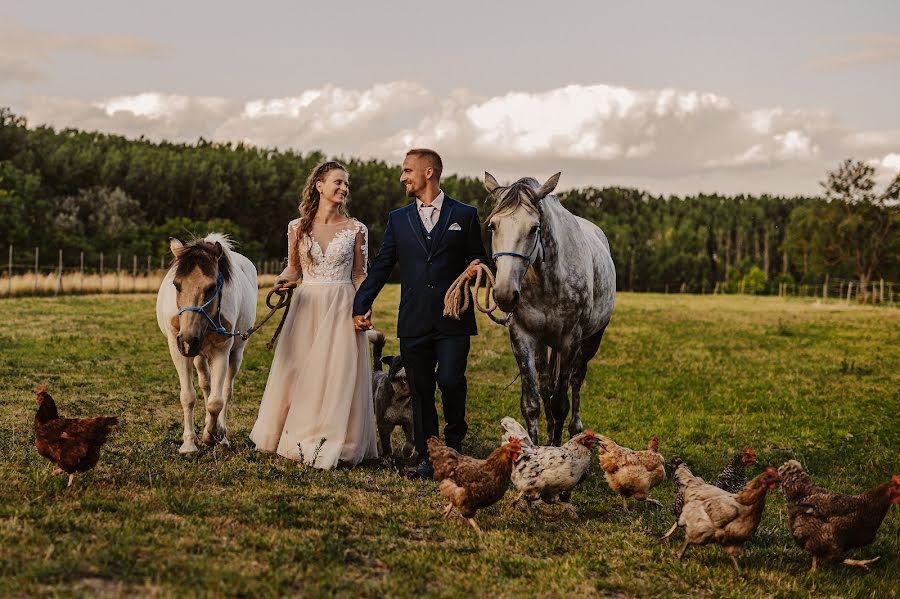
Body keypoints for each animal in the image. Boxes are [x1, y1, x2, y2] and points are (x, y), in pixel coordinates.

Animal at [486, 172, 620, 446]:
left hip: (591, 339)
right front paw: (535, 447)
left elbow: (560, 402)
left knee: (576, 379)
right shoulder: (523, 336)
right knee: (547, 385)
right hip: (545, 343)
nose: (505, 294)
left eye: (534, 228)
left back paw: (574, 429)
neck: (545, 279)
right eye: (493, 226)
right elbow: (533, 403)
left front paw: (558, 447)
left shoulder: (571, 340)